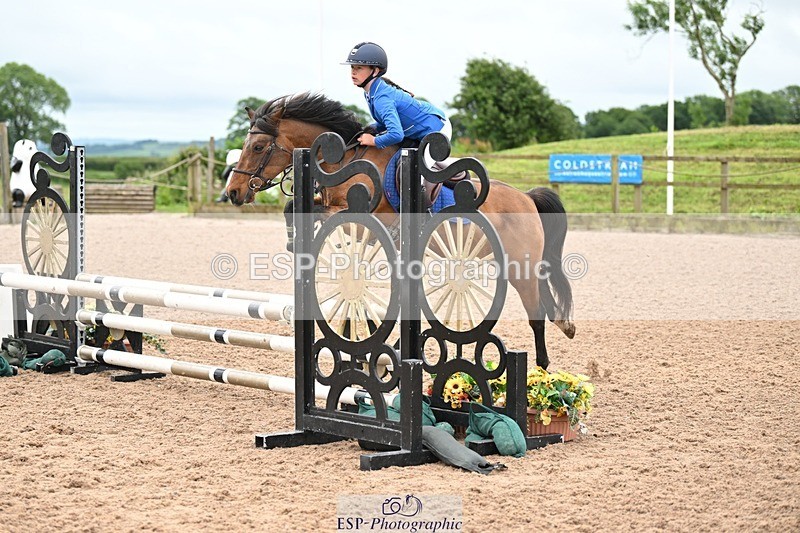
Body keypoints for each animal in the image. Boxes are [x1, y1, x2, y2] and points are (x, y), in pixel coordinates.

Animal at [226, 92, 575, 369]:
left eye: (258, 147)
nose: (233, 192)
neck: (348, 159)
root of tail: (526, 197)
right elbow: (296, 211)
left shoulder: (359, 215)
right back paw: (563, 330)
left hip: (520, 265)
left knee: (536, 314)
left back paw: (542, 370)